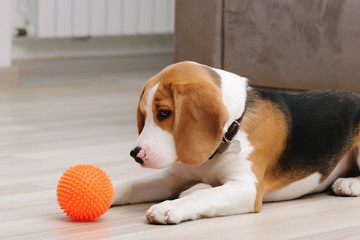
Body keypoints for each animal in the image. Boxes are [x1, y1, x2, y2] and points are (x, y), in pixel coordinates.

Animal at [112, 61, 360, 224]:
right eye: (144, 116)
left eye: (164, 113)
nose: (136, 154)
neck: (233, 128)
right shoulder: (172, 178)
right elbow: (132, 185)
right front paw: (112, 189)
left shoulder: (247, 188)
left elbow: (202, 194)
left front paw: (170, 206)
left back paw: (349, 183)